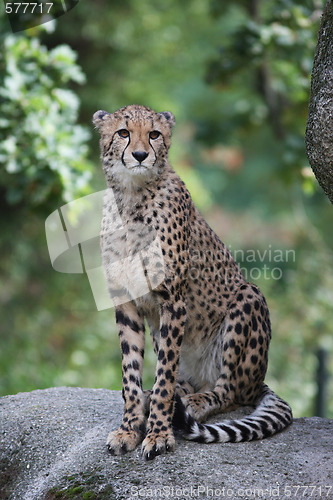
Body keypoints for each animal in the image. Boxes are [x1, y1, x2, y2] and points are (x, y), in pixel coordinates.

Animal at [92, 104, 290, 460]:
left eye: (154, 134)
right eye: (123, 133)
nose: (140, 155)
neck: (131, 197)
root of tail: (259, 380)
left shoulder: (172, 299)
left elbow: (165, 376)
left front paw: (158, 434)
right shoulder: (125, 302)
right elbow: (130, 373)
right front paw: (129, 428)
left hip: (248, 297)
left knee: (228, 392)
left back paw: (194, 403)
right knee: (182, 381)